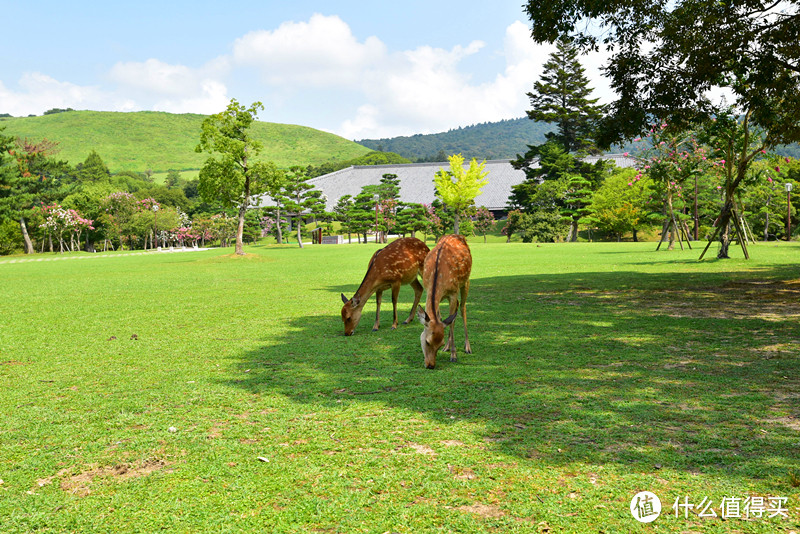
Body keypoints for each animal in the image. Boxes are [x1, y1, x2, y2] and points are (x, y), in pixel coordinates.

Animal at [416, 237, 472, 370]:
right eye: (427, 341)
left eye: (439, 344)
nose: (430, 365)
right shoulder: (429, 290)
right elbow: (442, 318)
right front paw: (448, 348)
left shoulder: (453, 293)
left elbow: (451, 323)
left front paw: (454, 355)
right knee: (456, 309)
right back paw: (449, 347)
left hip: (466, 282)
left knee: (462, 308)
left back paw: (467, 347)